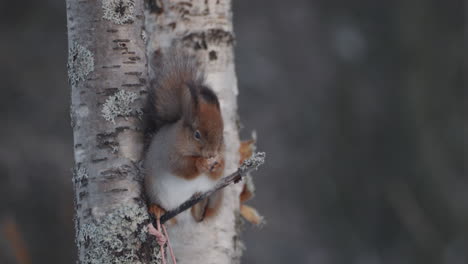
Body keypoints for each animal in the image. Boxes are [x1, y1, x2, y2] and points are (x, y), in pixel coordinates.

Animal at [144, 50, 226, 223]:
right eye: (197, 134)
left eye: (222, 136)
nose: (212, 154)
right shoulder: (168, 152)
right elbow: (181, 167)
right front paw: (201, 163)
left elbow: (217, 174)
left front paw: (218, 164)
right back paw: (157, 209)